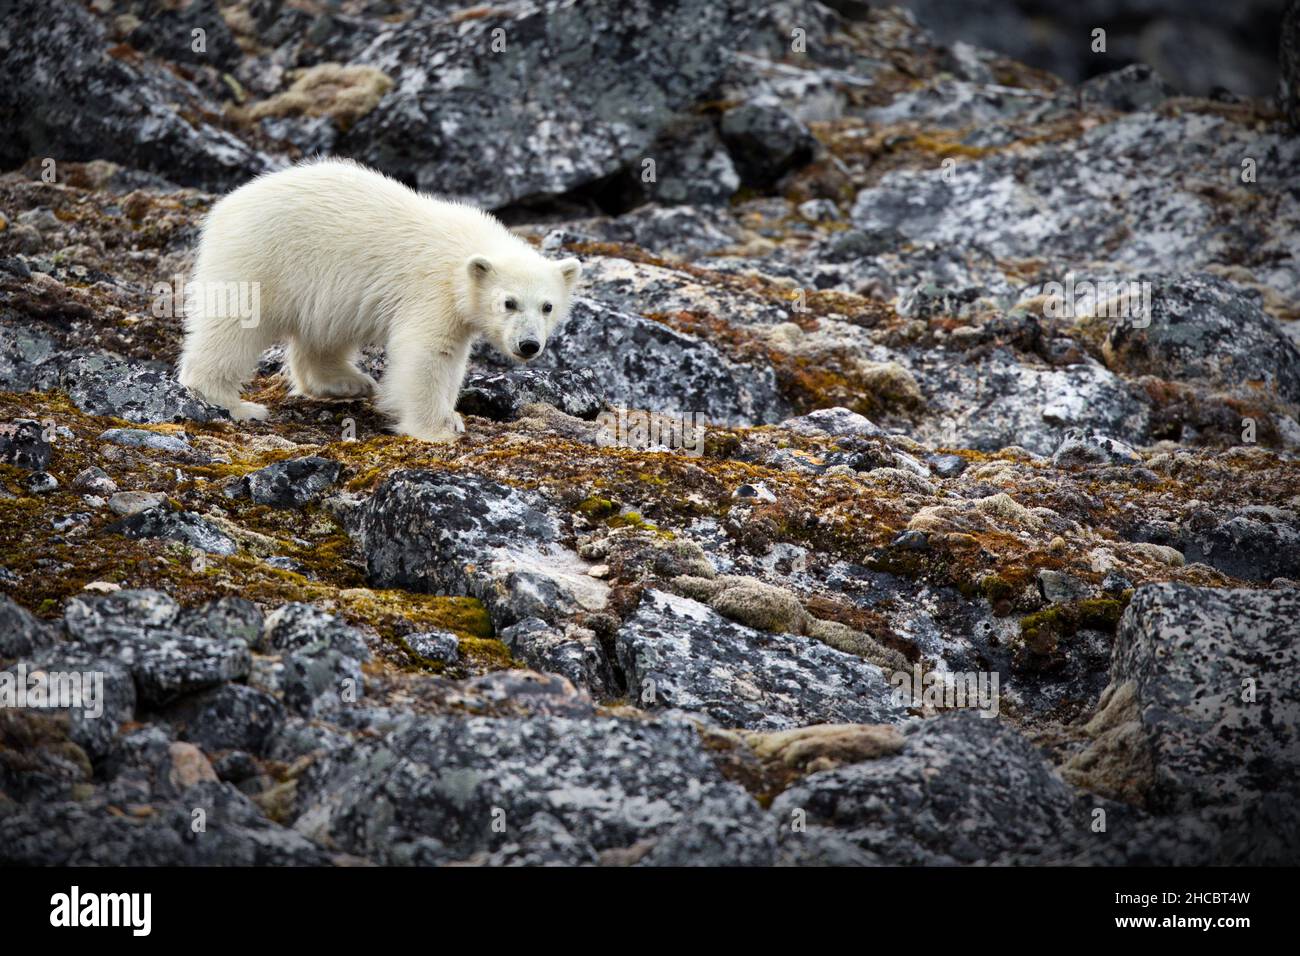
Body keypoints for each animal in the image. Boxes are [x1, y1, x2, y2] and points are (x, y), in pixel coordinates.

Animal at [176, 158, 581, 442]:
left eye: (547, 306)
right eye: (508, 303)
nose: (528, 345)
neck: (463, 251)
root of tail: (226, 206)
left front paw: (452, 417)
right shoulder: (432, 291)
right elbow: (428, 353)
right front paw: (436, 428)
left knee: (324, 333)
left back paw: (348, 382)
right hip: (262, 260)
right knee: (233, 327)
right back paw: (233, 403)